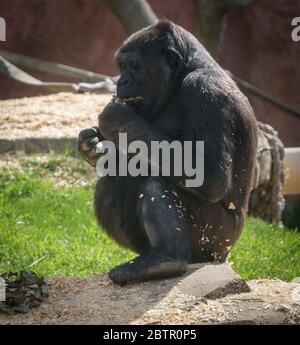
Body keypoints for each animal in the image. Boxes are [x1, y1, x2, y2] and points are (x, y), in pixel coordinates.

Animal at [78, 20, 258, 286]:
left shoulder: (206, 92)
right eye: (121, 66)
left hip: (216, 242)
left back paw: (166, 258)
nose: (121, 81)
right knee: (110, 184)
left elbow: (209, 176)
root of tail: (225, 256)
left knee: (158, 184)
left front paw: (117, 118)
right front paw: (93, 147)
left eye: (134, 65)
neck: (183, 73)